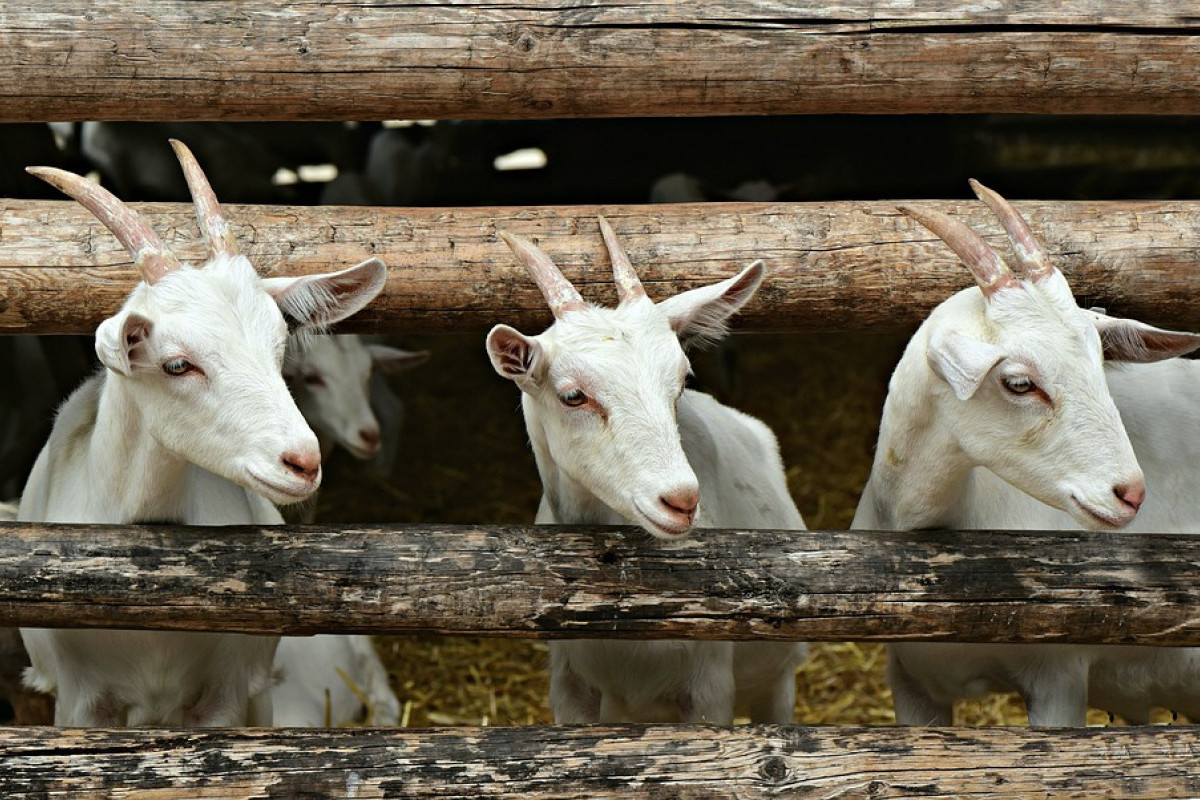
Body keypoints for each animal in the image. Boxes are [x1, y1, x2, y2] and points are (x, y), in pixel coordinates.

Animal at [487, 219, 806, 724]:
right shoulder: (570, 686)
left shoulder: (708, 689)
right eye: (573, 395)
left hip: (778, 679)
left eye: (682, 378)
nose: (681, 500)